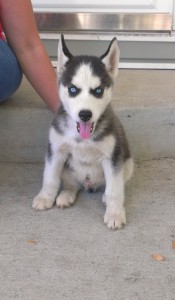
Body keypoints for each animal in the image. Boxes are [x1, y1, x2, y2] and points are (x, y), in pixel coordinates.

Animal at [32, 35, 133, 230]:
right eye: (73, 89)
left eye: (98, 90)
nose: (85, 114)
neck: (82, 138)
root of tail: (89, 185)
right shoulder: (55, 151)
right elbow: (50, 178)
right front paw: (45, 198)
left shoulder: (113, 158)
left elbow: (114, 190)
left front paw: (115, 213)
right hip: (67, 168)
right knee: (72, 184)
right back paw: (66, 194)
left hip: (128, 163)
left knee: (113, 185)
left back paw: (104, 197)